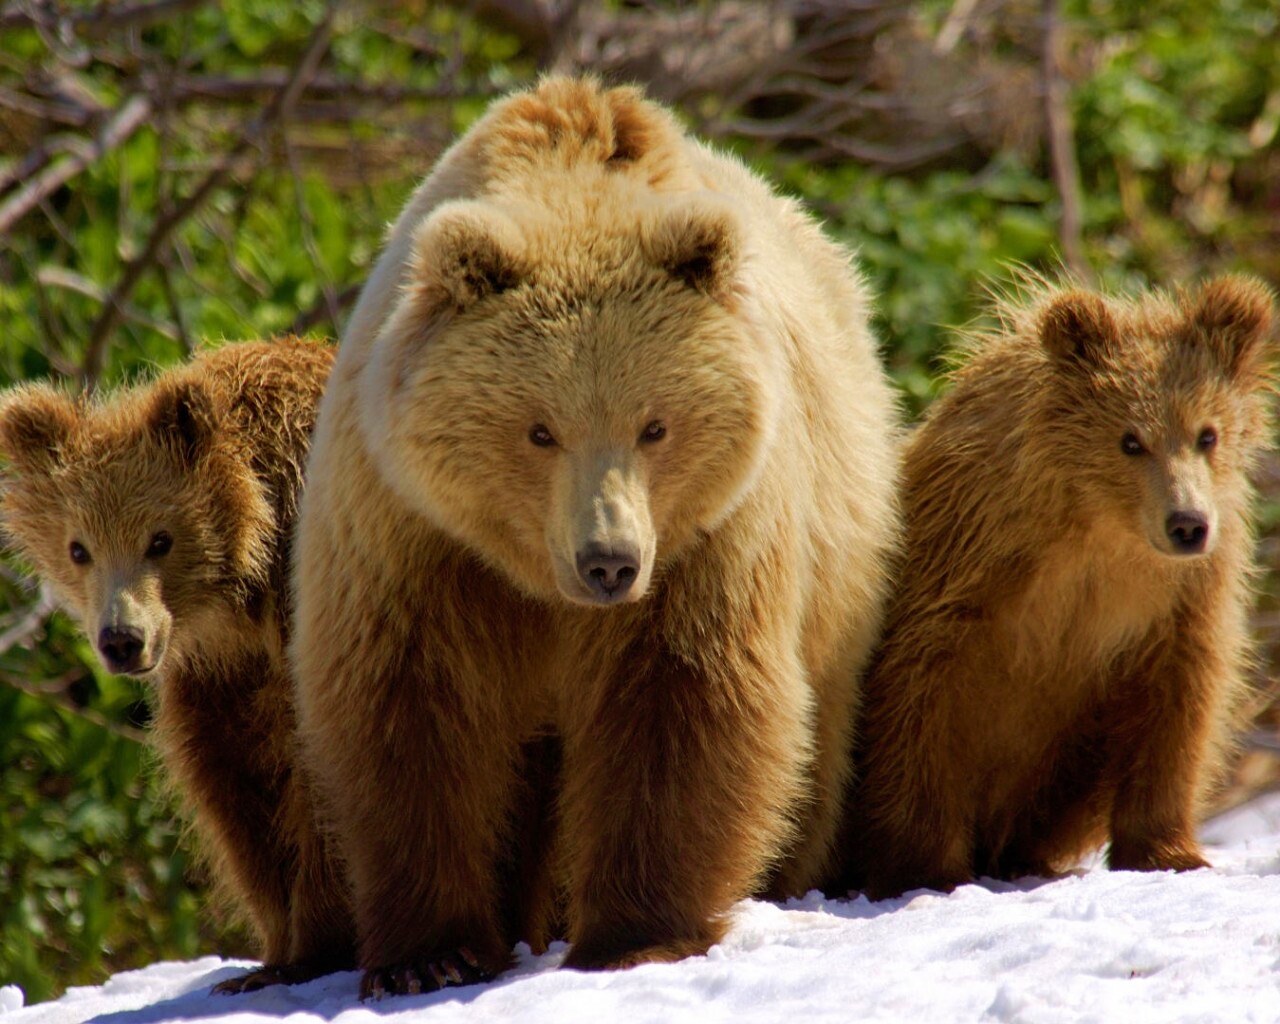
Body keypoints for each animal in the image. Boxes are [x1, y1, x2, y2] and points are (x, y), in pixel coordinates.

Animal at [0, 337, 353, 993]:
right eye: (79, 548)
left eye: (159, 539)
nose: (122, 640)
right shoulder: (220, 678)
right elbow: (233, 790)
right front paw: (270, 955)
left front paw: (315, 948)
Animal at [290, 78, 901, 998]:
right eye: (540, 430)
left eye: (655, 425)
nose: (608, 561)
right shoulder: (413, 535)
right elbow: (411, 711)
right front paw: (430, 954)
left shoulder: (707, 539)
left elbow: (680, 701)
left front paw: (635, 934)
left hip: (839, 563)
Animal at [834, 271, 1274, 896]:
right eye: (1130, 439)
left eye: (1206, 434)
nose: (1187, 523)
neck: (1098, 528)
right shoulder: (968, 567)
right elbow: (920, 701)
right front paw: (923, 867)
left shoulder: (1179, 600)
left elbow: (1178, 704)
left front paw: (1169, 852)